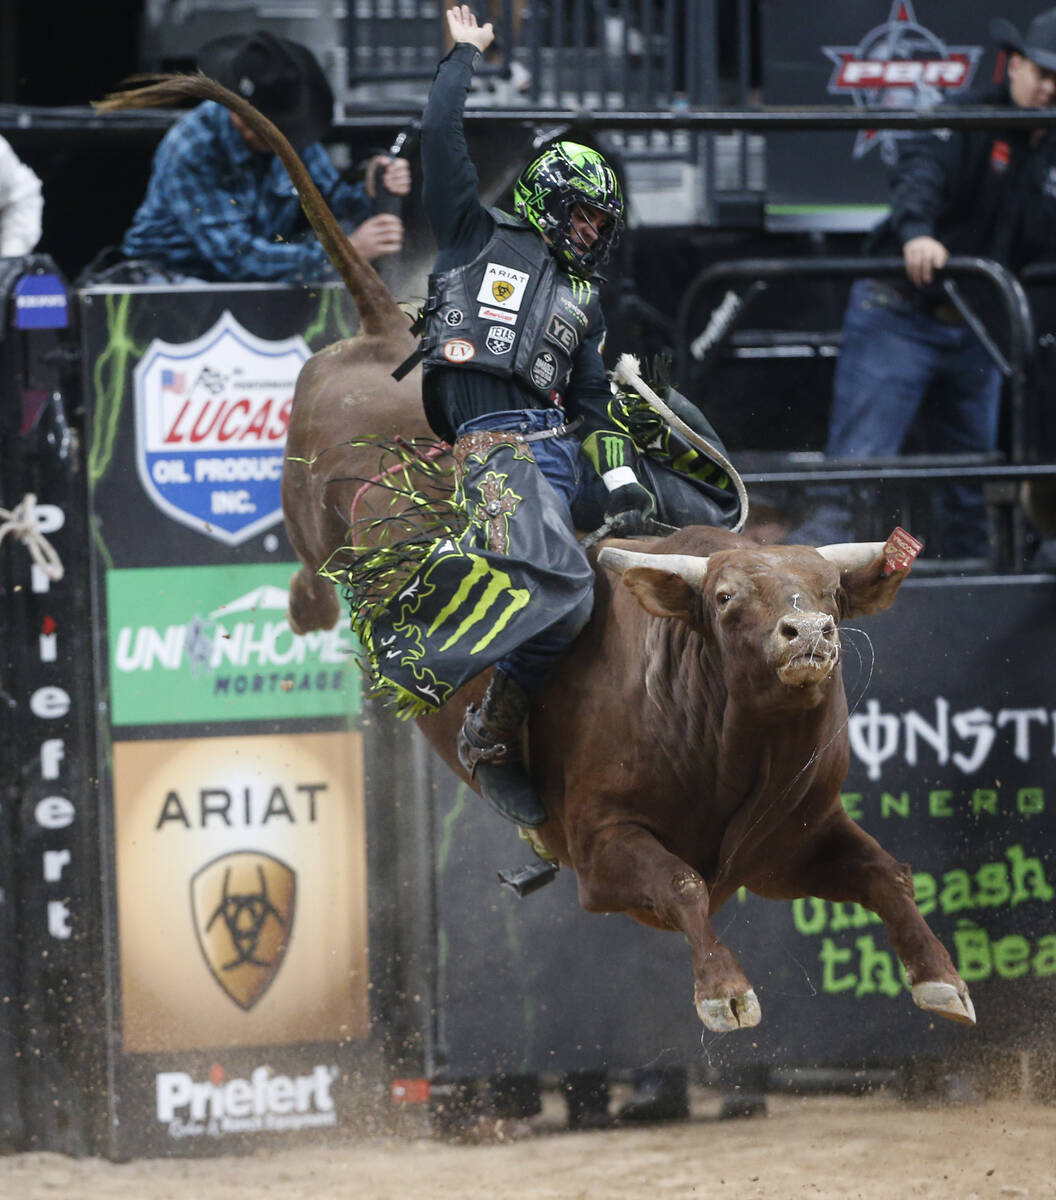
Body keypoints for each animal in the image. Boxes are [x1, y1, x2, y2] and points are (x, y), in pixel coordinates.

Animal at [103, 75, 979, 1032]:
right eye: (725, 601)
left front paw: (943, 976)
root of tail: (380, 332)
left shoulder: (790, 847)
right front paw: (724, 992)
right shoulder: (604, 851)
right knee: (313, 569)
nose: (808, 637)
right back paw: (310, 611)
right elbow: (683, 886)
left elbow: (887, 873)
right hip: (311, 504)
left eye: (829, 594)